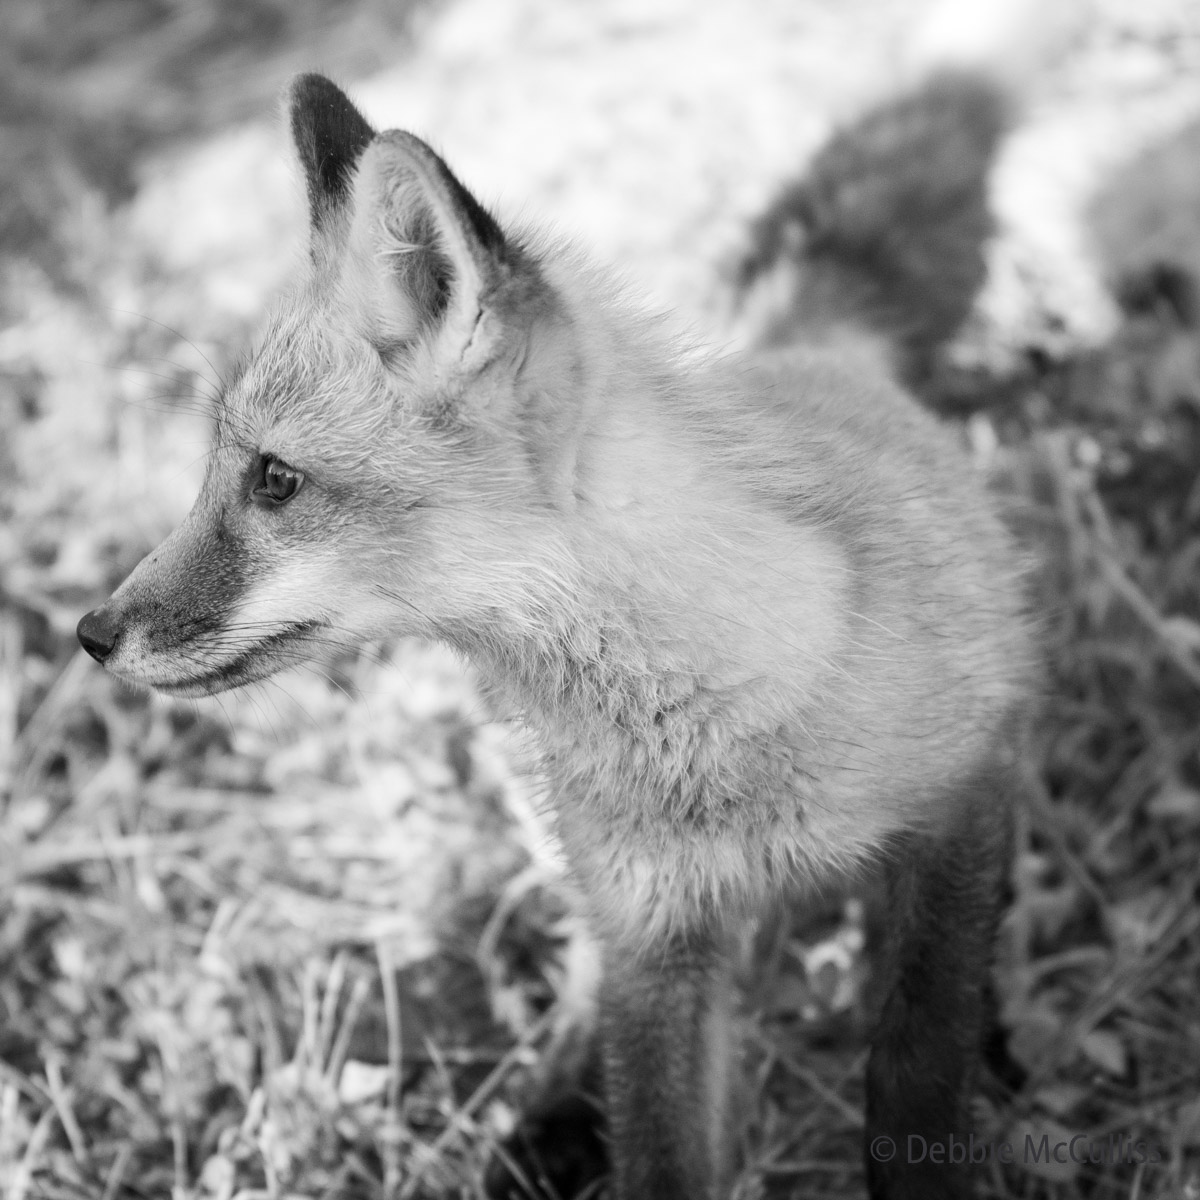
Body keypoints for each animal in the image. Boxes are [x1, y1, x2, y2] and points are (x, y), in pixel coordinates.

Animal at [77, 68, 1033, 1200]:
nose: (92, 633)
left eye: (273, 479)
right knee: (583, 990)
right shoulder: (656, 935)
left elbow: (916, 1059)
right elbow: (659, 1148)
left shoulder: (957, 804)